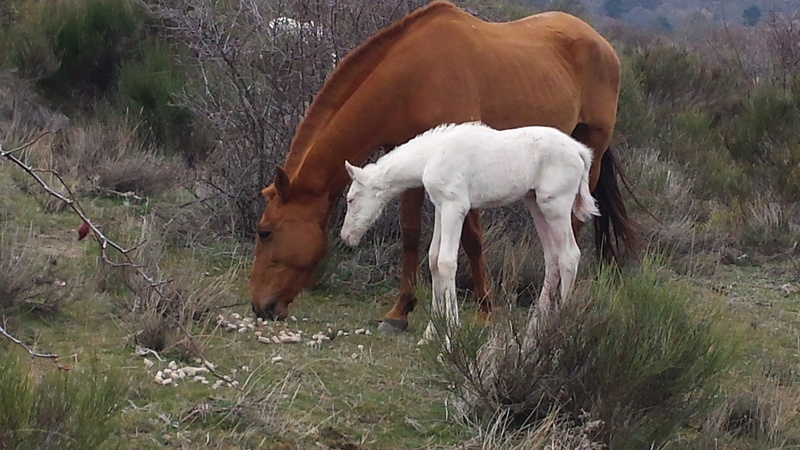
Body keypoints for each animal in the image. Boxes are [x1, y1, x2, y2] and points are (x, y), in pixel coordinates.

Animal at [340, 121, 596, 342]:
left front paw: (451, 332)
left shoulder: (456, 206)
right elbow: (433, 259)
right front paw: (430, 333)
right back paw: (534, 332)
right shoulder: (441, 206)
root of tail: (580, 151)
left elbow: (446, 262)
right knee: (552, 258)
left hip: (556, 204)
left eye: (351, 199)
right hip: (535, 202)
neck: (431, 156)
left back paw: (558, 328)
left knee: (569, 256)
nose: (346, 236)